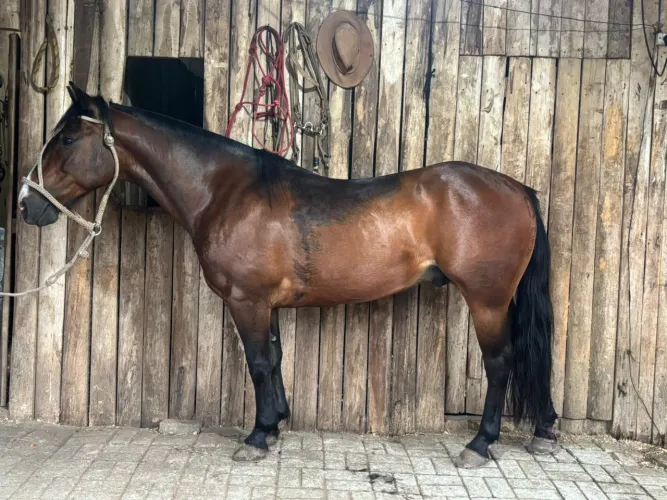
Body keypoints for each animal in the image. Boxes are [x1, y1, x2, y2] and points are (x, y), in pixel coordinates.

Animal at [18, 82, 557, 467]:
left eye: (67, 139)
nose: (25, 204)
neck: (224, 191)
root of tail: (517, 189)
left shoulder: (247, 301)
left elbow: (258, 363)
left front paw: (257, 437)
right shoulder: (265, 305)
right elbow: (275, 361)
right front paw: (276, 424)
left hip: (487, 300)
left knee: (501, 363)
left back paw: (480, 444)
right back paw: (545, 430)